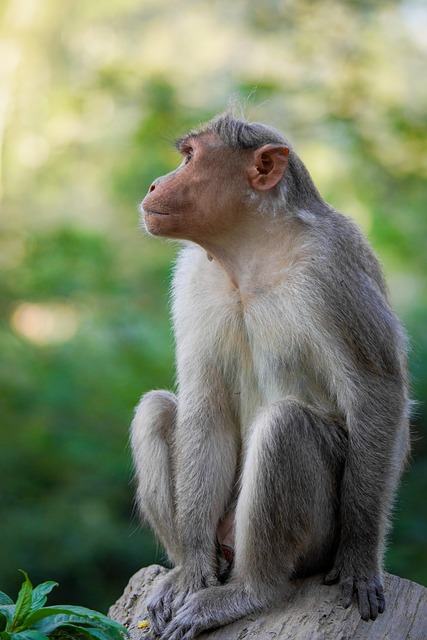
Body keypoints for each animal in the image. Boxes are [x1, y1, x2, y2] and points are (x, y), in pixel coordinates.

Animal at [130, 110, 410, 640]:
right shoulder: (192, 275)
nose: (155, 182)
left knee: (287, 426)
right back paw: (190, 570)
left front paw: (361, 559)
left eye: (190, 158)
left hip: (317, 541)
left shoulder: (332, 267)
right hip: (223, 530)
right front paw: (193, 572)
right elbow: (206, 400)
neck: (250, 251)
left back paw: (253, 591)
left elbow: (377, 393)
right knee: (155, 409)